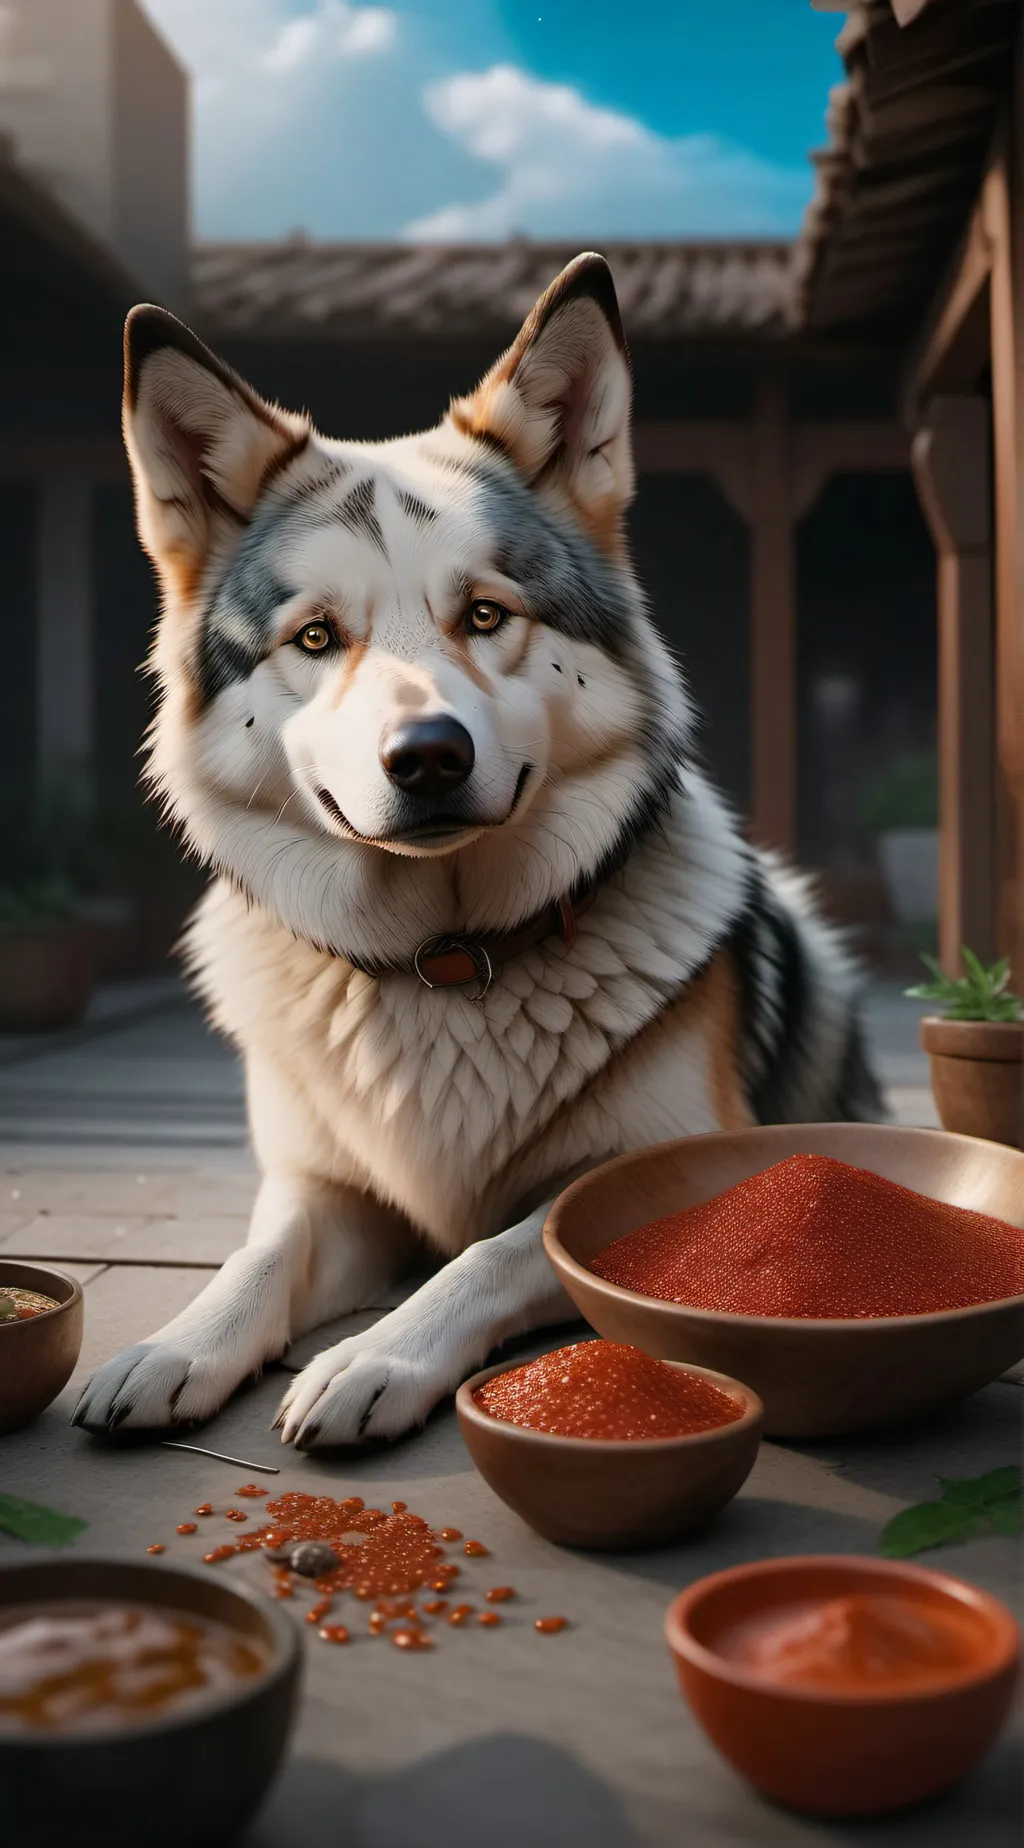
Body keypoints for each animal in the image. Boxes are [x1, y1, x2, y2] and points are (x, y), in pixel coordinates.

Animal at [73, 254, 884, 1448]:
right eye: (316, 637)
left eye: (487, 616)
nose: (427, 757)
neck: (445, 963)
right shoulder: (325, 1190)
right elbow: (259, 1254)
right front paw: (173, 1346)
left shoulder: (668, 1170)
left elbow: (493, 1252)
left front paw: (374, 1356)